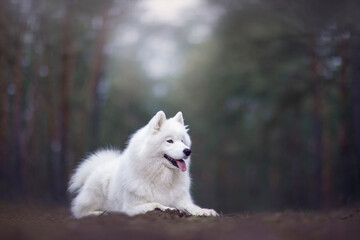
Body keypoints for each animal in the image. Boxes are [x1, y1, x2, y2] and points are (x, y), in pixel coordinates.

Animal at [69, 111, 218, 218]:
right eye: (169, 141)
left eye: (182, 141)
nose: (188, 151)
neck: (161, 176)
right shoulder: (131, 207)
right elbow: (156, 203)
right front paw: (169, 208)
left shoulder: (181, 199)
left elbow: (191, 206)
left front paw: (205, 211)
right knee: (79, 212)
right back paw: (99, 213)